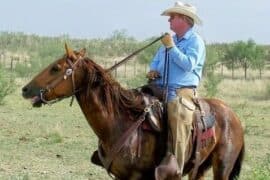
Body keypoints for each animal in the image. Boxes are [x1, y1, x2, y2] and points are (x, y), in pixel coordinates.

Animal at [21, 44, 245, 179]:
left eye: (56, 68)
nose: (25, 89)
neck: (119, 123)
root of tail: (233, 116)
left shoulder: (137, 176)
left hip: (222, 166)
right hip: (199, 167)